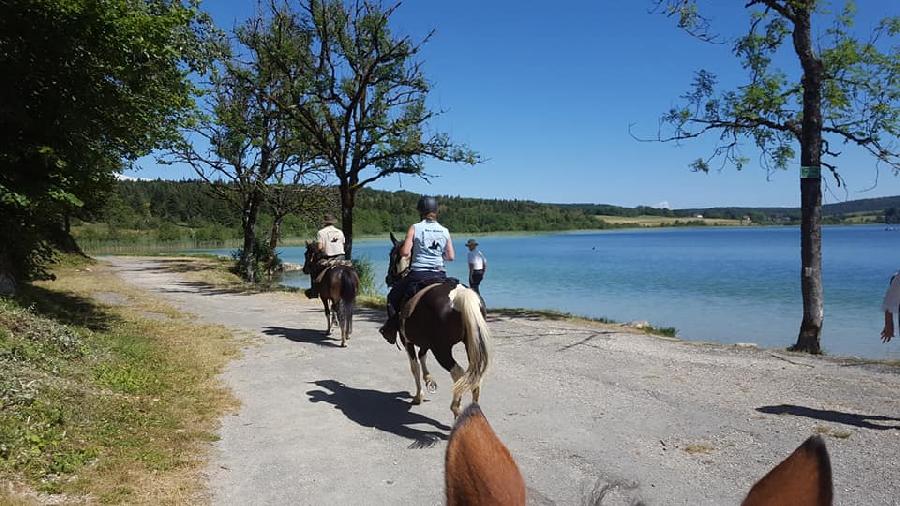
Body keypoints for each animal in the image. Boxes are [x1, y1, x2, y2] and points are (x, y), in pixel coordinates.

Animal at [384, 231, 488, 418]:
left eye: (392, 255)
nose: (388, 278)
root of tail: (461, 296)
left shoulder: (407, 340)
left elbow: (414, 366)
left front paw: (418, 396)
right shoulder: (426, 342)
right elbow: (422, 356)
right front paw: (429, 380)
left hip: (442, 350)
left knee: (458, 372)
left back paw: (456, 408)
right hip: (470, 344)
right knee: (475, 376)